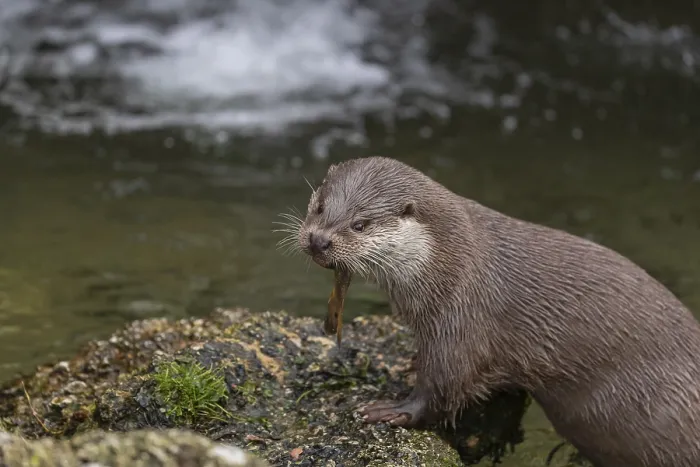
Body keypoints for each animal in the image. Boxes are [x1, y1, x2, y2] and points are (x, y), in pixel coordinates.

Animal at [290, 156, 700, 467]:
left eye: (360, 224)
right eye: (320, 206)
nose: (319, 239)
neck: (451, 263)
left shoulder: (464, 315)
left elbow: (444, 386)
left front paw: (393, 409)